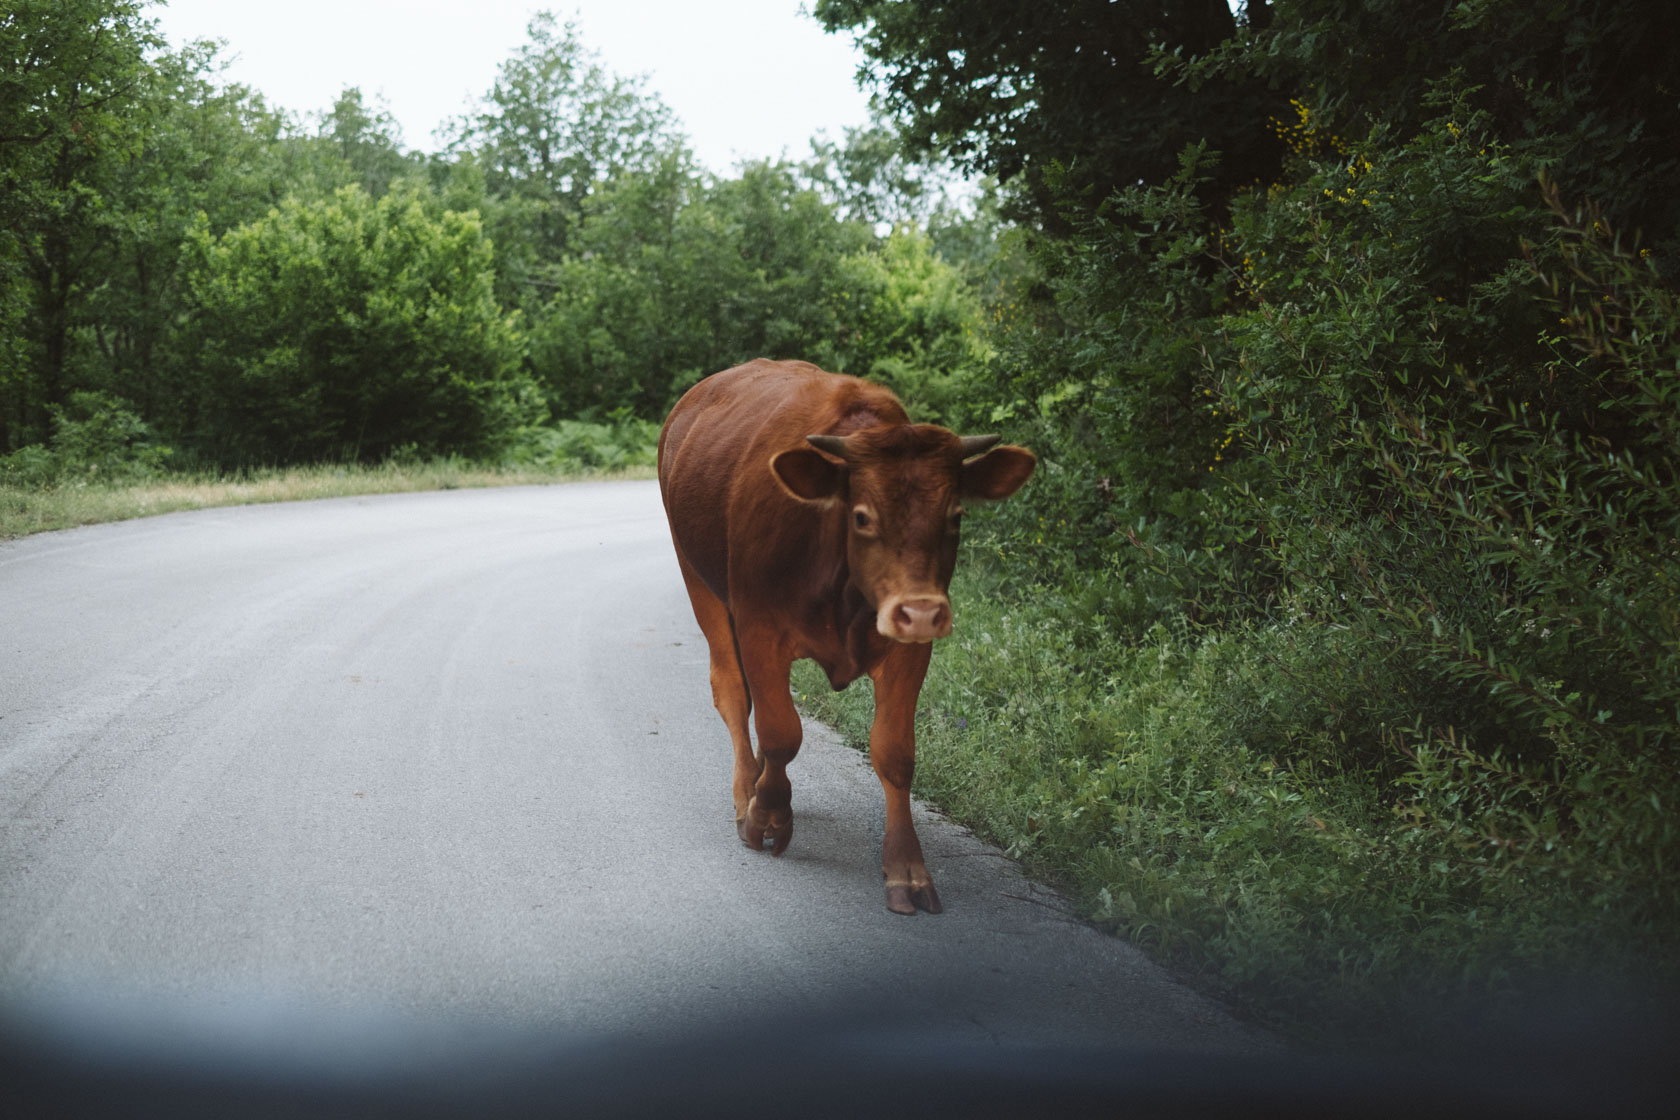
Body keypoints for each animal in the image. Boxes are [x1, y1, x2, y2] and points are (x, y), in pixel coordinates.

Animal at [658, 359, 1034, 913]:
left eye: (956, 516)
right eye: (862, 516)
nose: (922, 612)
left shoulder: (908, 651)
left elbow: (895, 754)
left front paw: (906, 868)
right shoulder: (758, 628)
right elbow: (782, 733)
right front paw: (767, 815)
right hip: (698, 579)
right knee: (731, 691)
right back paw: (746, 792)